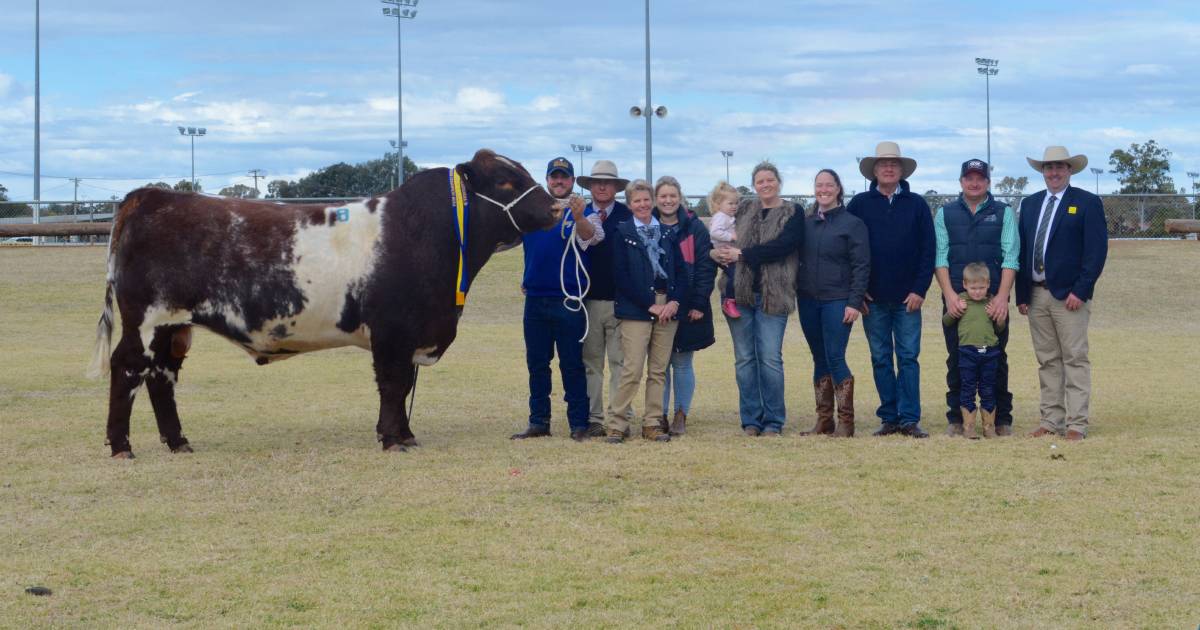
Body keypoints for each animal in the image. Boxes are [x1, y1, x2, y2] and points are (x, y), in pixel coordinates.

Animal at [87, 151, 564, 456]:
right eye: (506, 181)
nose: (559, 207)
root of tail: (149, 196)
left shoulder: (409, 334)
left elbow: (404, 384)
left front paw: (405, 434)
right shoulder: (392, 332)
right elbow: (393, 384)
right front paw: (393, 439)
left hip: (172, 327)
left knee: (161, 377)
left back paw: (178, 442)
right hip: (145, 321)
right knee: (127, 368)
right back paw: (121, 446)